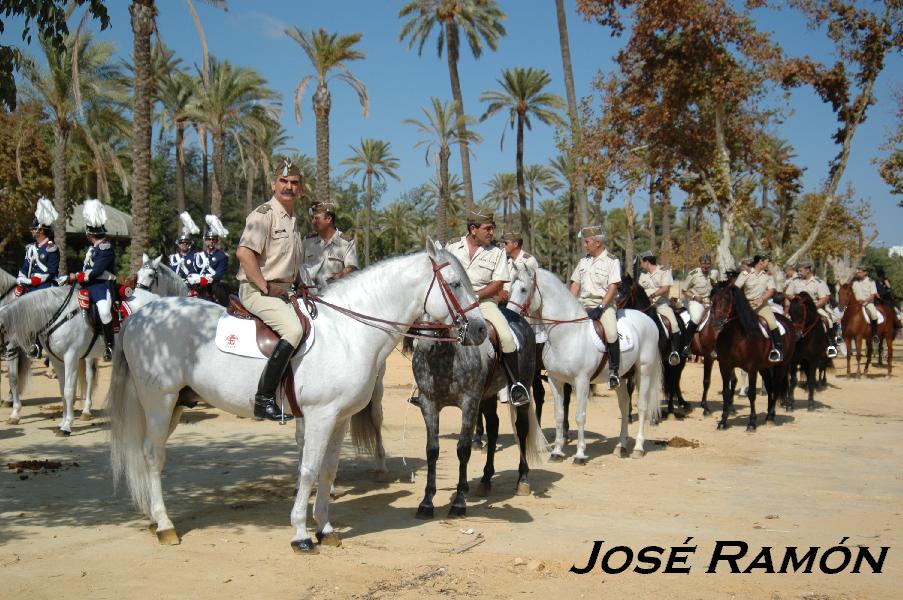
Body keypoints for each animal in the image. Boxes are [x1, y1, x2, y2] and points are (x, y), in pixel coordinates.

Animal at [0, 284, 159, 434]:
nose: (8, 351)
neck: (58, 315)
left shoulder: (71, 356)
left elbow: (69, 390)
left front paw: (67, 426)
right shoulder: (57, 360)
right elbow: (62, 391)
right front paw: (62, 422)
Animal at [107, 244, 488, 552]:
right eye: (455, 284)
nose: (482, 329)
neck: (347, 333)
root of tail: (142, 315)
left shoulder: (340, 418)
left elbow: (328, 470)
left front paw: (326, 529)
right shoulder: (320, 416)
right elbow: (308, 470)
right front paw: (301, 534)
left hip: (172, 405)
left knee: (148, 455)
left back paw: (155, 520)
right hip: (160, 402)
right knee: (153, 457)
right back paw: (165, 525)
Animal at [508, 270, 664, 462]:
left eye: (523, 289)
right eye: (510, 288)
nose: (509, 314)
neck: (568, 334)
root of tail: (648, 320)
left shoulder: (581, 381)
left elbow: (580, 416)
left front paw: (580, 454)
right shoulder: (555, 380)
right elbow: (559, 415)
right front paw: (557, 452)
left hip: (644, 371)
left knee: (641, 405)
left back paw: (638, 448)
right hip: (620, 377)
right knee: (624, 404)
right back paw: (621, 446)